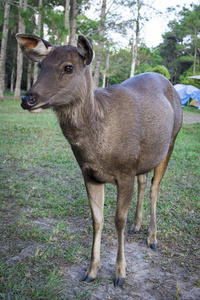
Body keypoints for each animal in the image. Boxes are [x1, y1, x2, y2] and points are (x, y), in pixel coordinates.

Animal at [15, 32, 181, 286]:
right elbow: (97, 220)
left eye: (69, 67)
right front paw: (91, 271)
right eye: (41, 65)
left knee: (155, 188)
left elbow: (118, 220)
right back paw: (136, 226)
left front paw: (120, 274)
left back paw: (152, 238)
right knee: (144, 181)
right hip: (144, 156)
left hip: (171, 140)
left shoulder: (125, 172)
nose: (28, 99)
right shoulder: (89, 173)